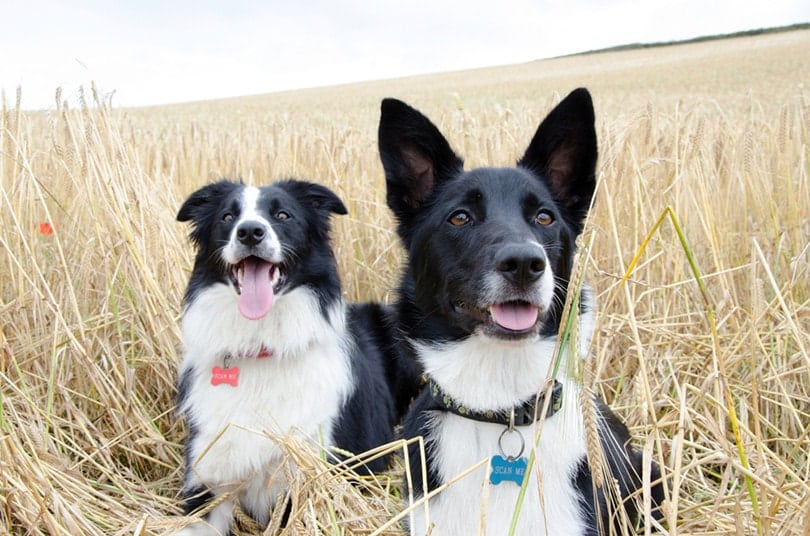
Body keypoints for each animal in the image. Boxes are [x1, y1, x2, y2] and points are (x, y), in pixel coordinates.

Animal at [178, 179, 402, 532]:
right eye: (228, 216)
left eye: (283, 215)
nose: (250, 232)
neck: (262, 346)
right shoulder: (206, 483)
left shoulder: (308, 483)